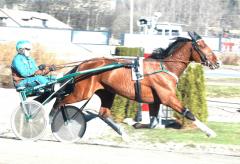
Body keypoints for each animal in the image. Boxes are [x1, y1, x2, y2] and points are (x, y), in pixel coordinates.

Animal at [53, 31, 220, 139]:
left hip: (107, 92)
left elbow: (153, 123)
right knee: (59, 101)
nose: (217, 62)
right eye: (202, 45)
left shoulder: (155, 101)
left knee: (103, 114)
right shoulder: (168, 98)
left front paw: (133, 123)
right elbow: (189, 113)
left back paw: (124, 135)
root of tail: (82, 64)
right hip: (81, 93)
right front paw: (210, 132)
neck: (165, 67)